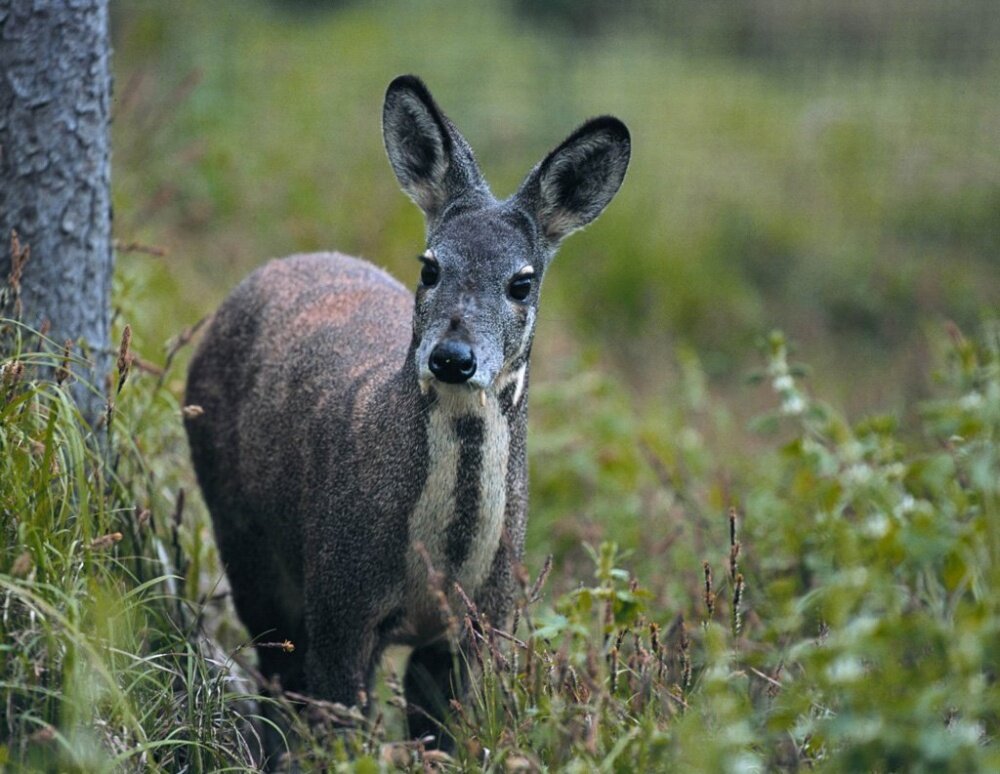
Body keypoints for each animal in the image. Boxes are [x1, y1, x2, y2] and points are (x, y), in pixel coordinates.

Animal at [184, 76, 628, 756]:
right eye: (430, 265)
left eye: (522, 282)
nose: (452, 357)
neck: (439, 564)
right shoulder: (340, 595)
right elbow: (337, 723)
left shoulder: (479, 623)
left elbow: (442, 737)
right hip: (244, 535)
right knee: (276, 672)